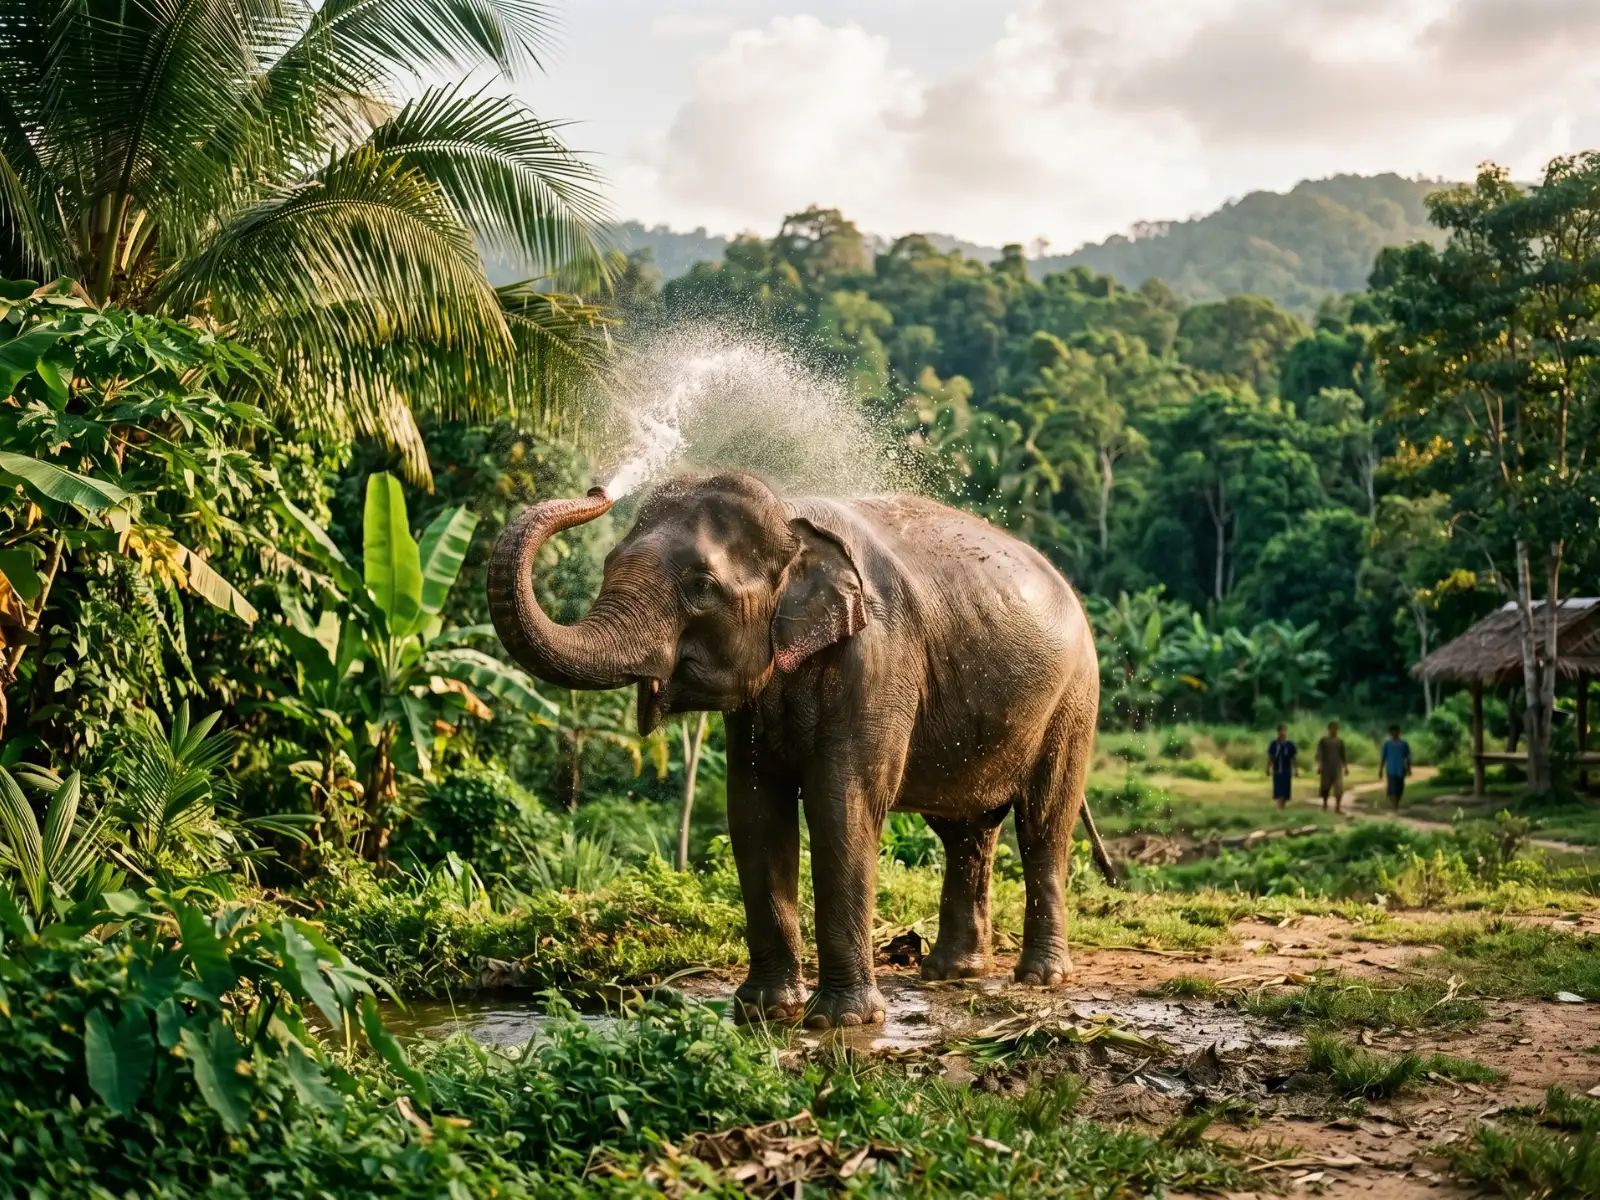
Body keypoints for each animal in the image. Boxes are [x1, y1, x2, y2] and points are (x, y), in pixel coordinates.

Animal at [487, 471, 1112, 1029]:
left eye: (700, 585)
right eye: (608, 565)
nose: (598, 490)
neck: (792, 518)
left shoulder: (878, 659)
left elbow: (843, 806)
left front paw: (842, 1021)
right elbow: (754, 809)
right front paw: (764, 1011)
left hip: (1075, 698)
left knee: (1043, 824)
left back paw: (1040, 978)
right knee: (965, 831)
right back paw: (949, 973)